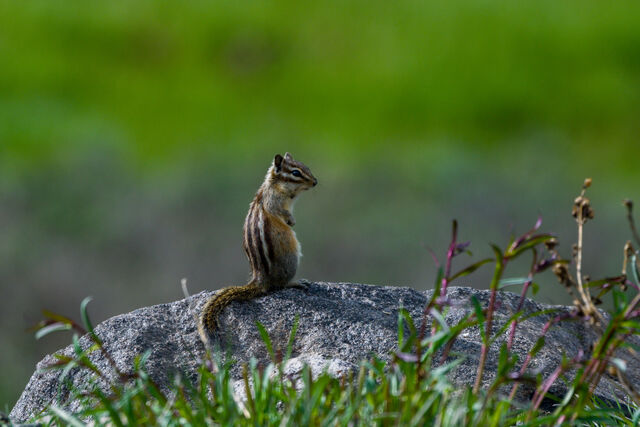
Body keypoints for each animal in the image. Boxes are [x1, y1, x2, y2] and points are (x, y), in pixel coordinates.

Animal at [198, 152, 317, 343]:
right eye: (296, 173)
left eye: (306, 167)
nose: (315, 182)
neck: (276, 186)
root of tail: (260, 279)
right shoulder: (273, 201)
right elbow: (280, 212)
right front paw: (291, 221)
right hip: (291, 258)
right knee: (279, 285)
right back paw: (296, 282)